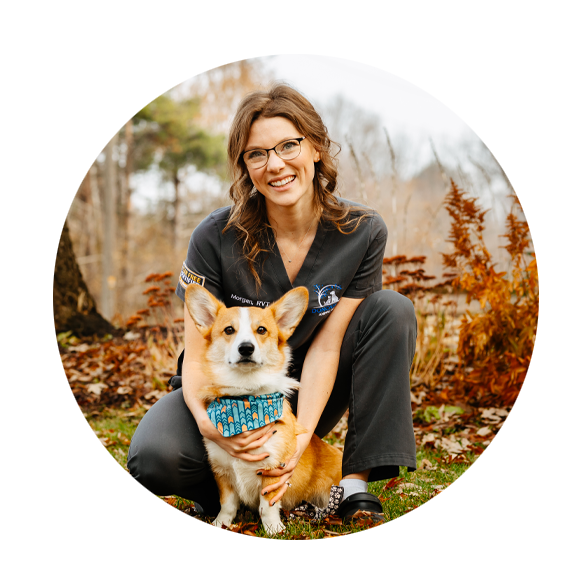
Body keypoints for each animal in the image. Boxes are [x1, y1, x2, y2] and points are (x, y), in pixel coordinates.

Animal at [185, 284, 344, 536]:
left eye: (261, 330)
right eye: (229, 330)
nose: (246, 348)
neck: (245, 397)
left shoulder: (272, 472)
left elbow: (266, 506)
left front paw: (274, 530)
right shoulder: (222, 472)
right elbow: (227, 505)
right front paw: (221, 524)